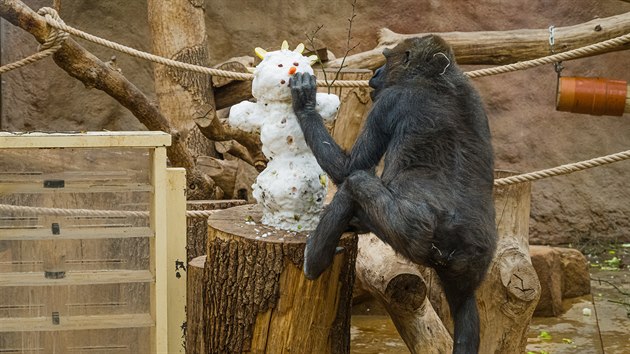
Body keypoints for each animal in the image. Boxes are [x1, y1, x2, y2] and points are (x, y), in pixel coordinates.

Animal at [292, 34, 498, 354]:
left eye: (387, 58)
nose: (376, 72)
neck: (437, 77)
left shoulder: (389, 102)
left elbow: (351, 167)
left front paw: (305, 103)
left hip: (411, 235)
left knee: (356, 182)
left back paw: (315, 259)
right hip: (474, 260)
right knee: (464, 303)